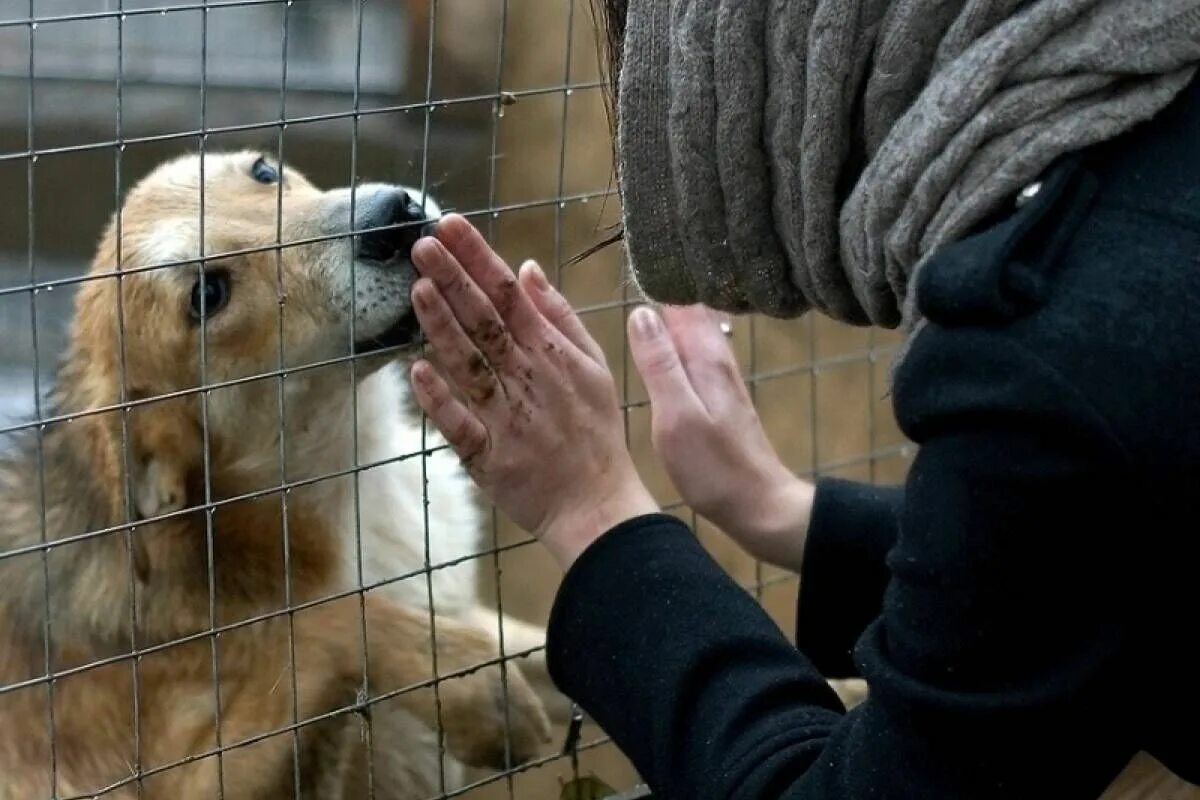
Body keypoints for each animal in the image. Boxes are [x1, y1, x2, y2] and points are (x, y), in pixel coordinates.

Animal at [0, 153, 561, 796]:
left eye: (264, 172)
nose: (394, 217)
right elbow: (327, 623)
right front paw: (478, 687)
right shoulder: (183, 780)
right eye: (208, 294)